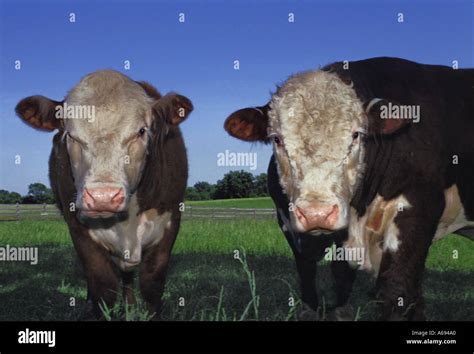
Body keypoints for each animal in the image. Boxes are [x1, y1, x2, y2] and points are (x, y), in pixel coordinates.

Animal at [15, 70, 193, 320]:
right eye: (70, 135)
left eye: (141, 131)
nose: (103, 197)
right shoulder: (79, 229)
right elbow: (103, 287)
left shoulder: (169, 223)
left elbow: (152, 287)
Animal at [225, 109, 356, 316]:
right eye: (277, 138)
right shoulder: (287, 224)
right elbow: (305, 267)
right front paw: (310, 307)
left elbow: (342, 265)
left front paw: (341, 308)